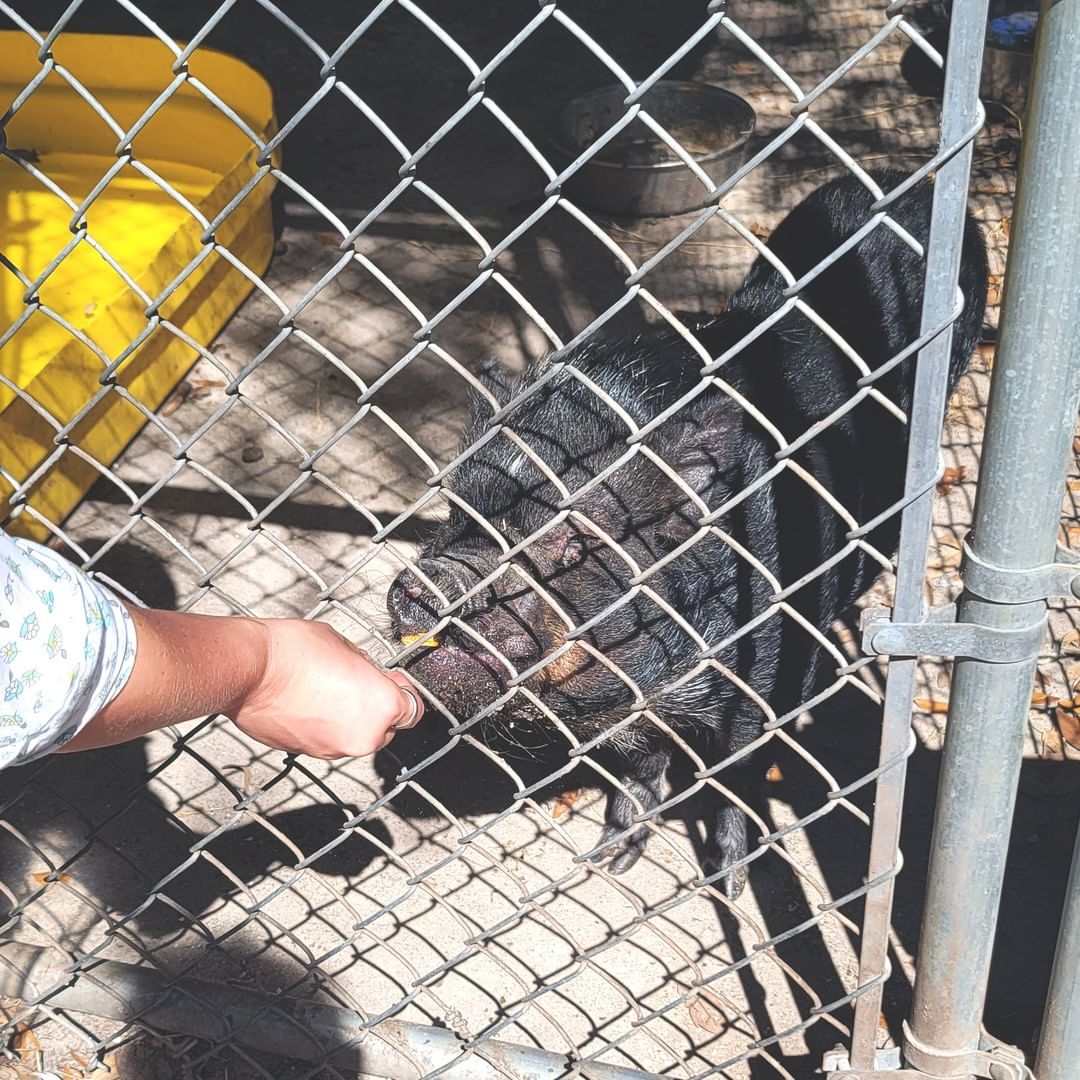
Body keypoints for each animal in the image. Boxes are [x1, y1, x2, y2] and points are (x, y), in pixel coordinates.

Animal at [388, 172, 989, 898]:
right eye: (456, 508)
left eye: (578, 541)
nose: (430, 581)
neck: (653, 677)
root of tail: (915, 187)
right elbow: (641, 765)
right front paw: (607, 860)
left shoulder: (769, 684)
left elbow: (737, 778)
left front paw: (726, 884)